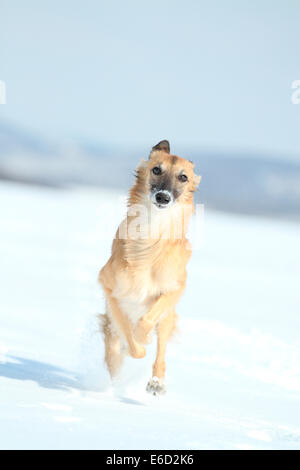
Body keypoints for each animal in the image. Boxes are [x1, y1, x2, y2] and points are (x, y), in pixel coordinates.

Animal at [99, 140, 202, 396]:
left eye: (183, 177)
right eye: (156, 169)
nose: (163, 197)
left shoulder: (173, 289)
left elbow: (146, 321)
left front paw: (143, 337)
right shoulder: (109, 287)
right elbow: (127, 328)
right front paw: (138, 344)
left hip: (167, 320)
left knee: (161, 354)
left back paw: (156, 382)